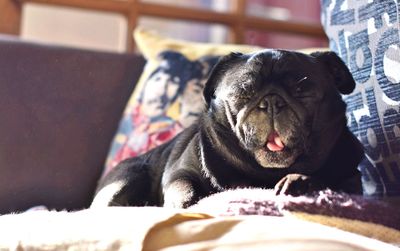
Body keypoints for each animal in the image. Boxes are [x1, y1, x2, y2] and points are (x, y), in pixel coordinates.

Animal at [92, 49, 364, 208]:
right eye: (243, 93)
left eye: (302, 92)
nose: (272, 101)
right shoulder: (180, 173)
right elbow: (184, 189)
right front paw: (186, 204)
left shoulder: (352, 181)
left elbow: (329, 178)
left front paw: (298, 181)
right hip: (127, 179)